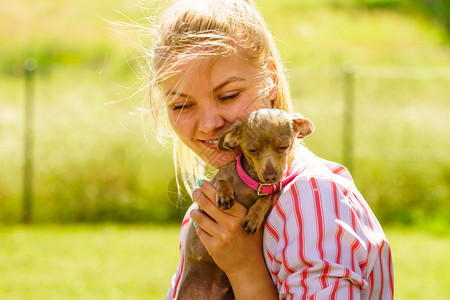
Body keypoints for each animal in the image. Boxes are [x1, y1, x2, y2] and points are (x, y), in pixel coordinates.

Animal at [176, 108, 312, 300]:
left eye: (284, 147)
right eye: (252, 150)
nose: (270, 177)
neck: (250, 183)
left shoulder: (269, 193)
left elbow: (264, 199)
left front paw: (254, 218)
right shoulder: (209, 194)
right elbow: (222, 181)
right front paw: (225, 195)